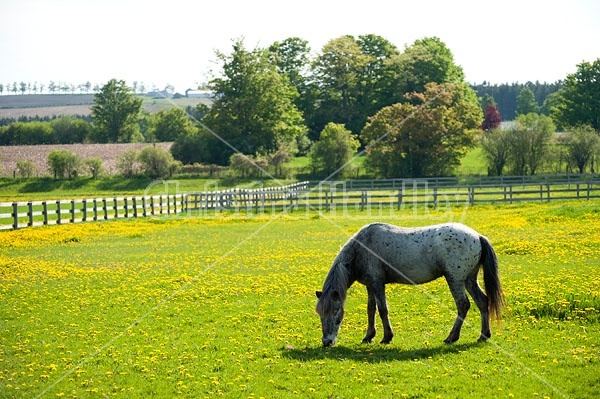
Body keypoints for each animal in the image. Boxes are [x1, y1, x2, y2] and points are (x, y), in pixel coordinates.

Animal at [316, 222, 504, 346]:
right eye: (320, 314)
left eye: (336, 312)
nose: (327, 341)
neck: (362, 248)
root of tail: (477, 236)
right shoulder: (370, 285)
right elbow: (371, 310)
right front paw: (369, 336)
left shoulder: (378, 283)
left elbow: (382, 309)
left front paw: (387, 337)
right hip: (469, 280)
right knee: (482, 302)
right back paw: (483, 335)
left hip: (455, 280)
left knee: (463, 305)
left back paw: (452, 337)